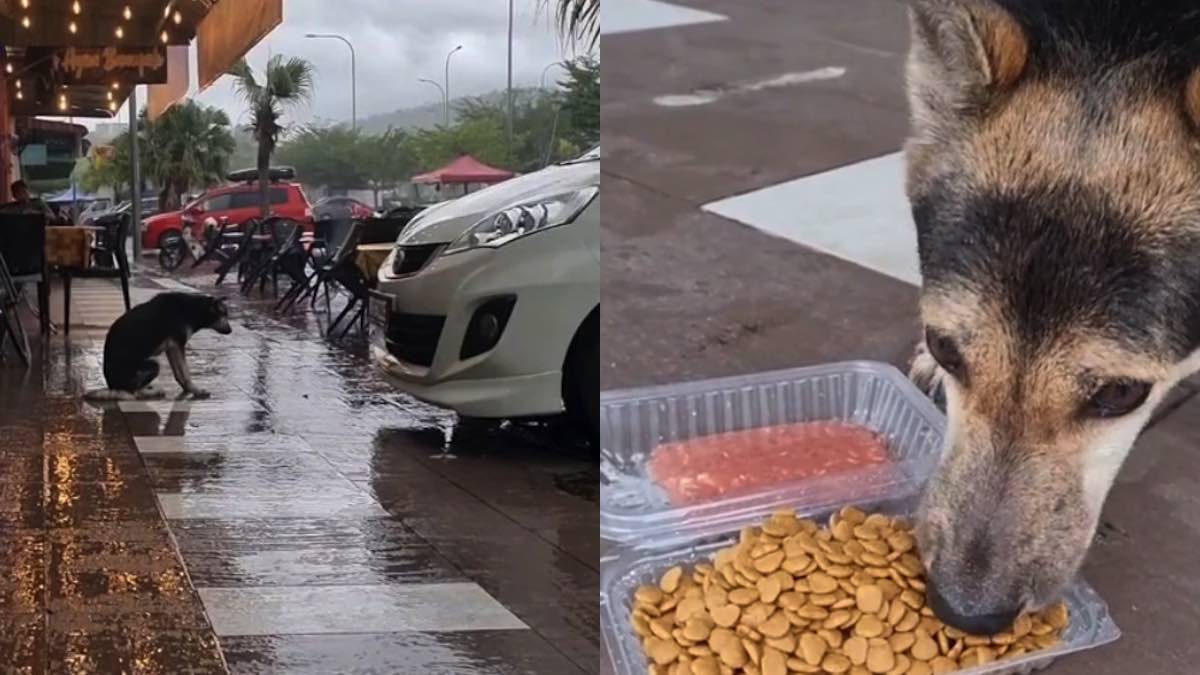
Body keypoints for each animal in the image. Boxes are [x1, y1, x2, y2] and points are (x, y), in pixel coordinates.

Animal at [84, 290, 231, 398]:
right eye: (224, 314)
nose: (231, 330)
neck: (194, 309)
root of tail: (112, 386)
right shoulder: (177, 344)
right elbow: (185, 373)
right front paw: (195, 390)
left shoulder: (172, 347)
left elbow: (179, 373)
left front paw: (186, 389)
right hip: (153, 364)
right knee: (133, 392)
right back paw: (150, 392)